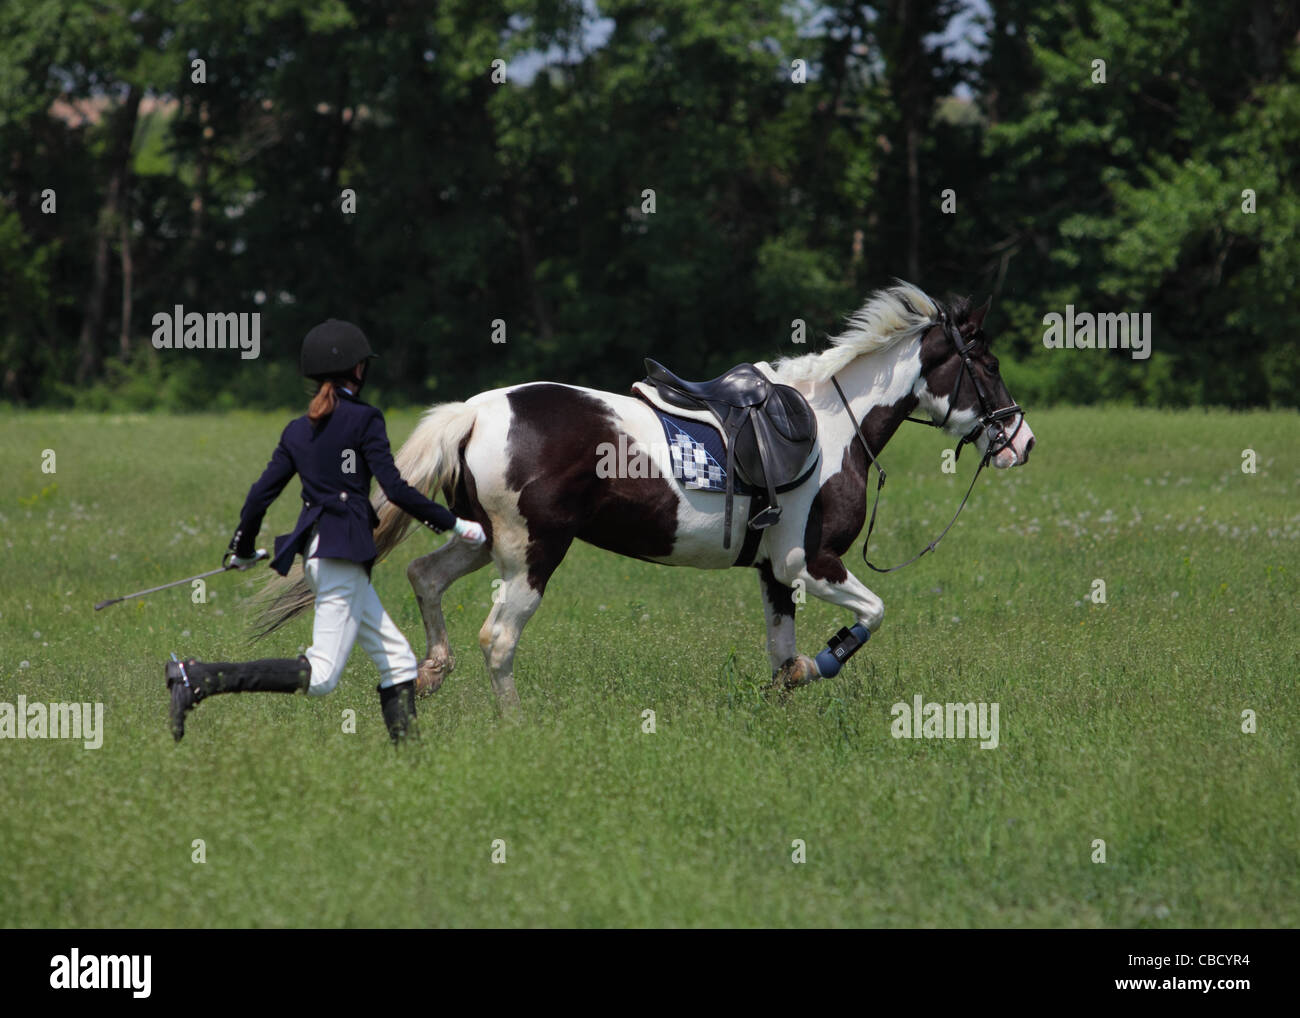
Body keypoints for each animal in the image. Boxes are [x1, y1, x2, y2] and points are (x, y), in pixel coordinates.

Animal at [255, 282, 1036, 709]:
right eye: (989, 364)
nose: (1021, 441)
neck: (832, 423)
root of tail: (476, 410)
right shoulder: (810, 565)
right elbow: (870, 616)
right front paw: (821, 666)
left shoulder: (773, 574)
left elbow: (781, 655)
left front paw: (782, 697)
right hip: (533, 554)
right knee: (498, 638)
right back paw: (514, 726)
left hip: (483, 541)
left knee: (425, 577)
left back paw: (429, 675)